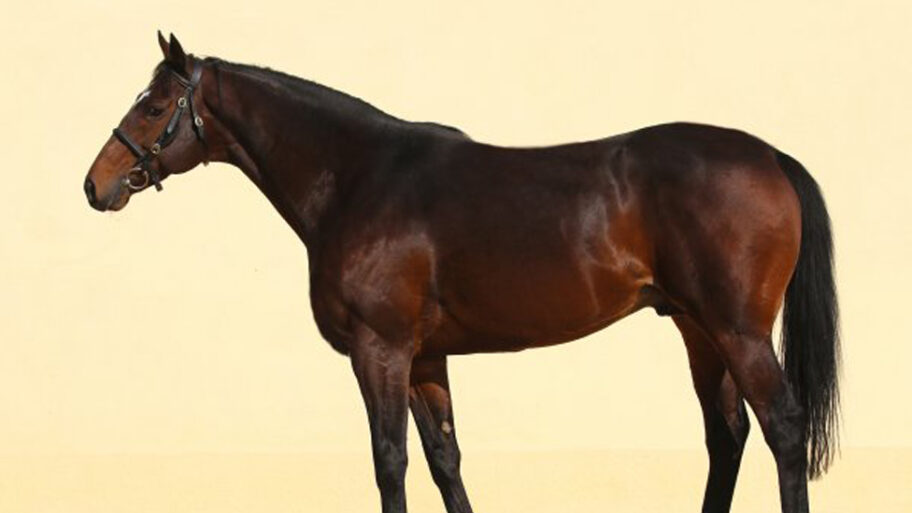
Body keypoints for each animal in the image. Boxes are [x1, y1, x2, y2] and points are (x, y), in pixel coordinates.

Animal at [84, 32, 840, 513]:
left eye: (154, 106)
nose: (96, 184)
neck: (359, 178)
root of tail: (771, 156)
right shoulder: (425, 358)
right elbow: (444, 460)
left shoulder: (380, 351)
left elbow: (390, 460)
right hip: (697, 328)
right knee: (727, 435)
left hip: (736, 331)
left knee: (782, 427)